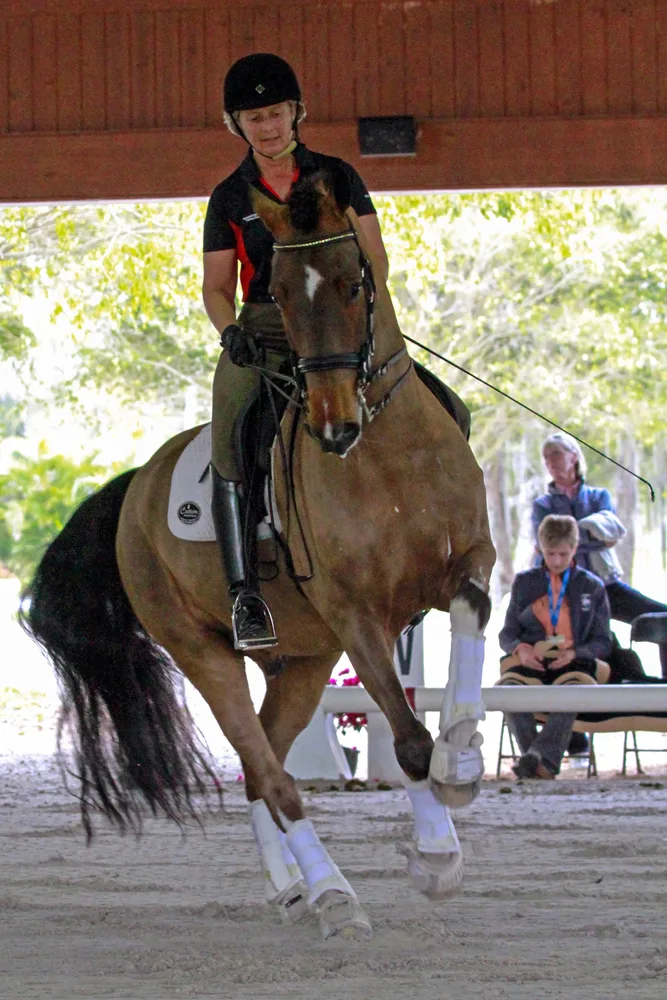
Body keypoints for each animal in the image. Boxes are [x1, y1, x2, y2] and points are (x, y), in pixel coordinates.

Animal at [20, 168, 494, 940]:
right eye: (282, 289)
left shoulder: (470, 560)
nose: (334, 427)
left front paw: (464, 752)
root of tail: (135, 487)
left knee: (260, 763)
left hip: (303, 660)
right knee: (270, 772)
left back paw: (296, 889)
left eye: (353, 284)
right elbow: (405, 737)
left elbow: (471, 618)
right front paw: (435, 854)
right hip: (205, 651)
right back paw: (333, 894)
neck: (389, 460)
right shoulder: (357, 616)